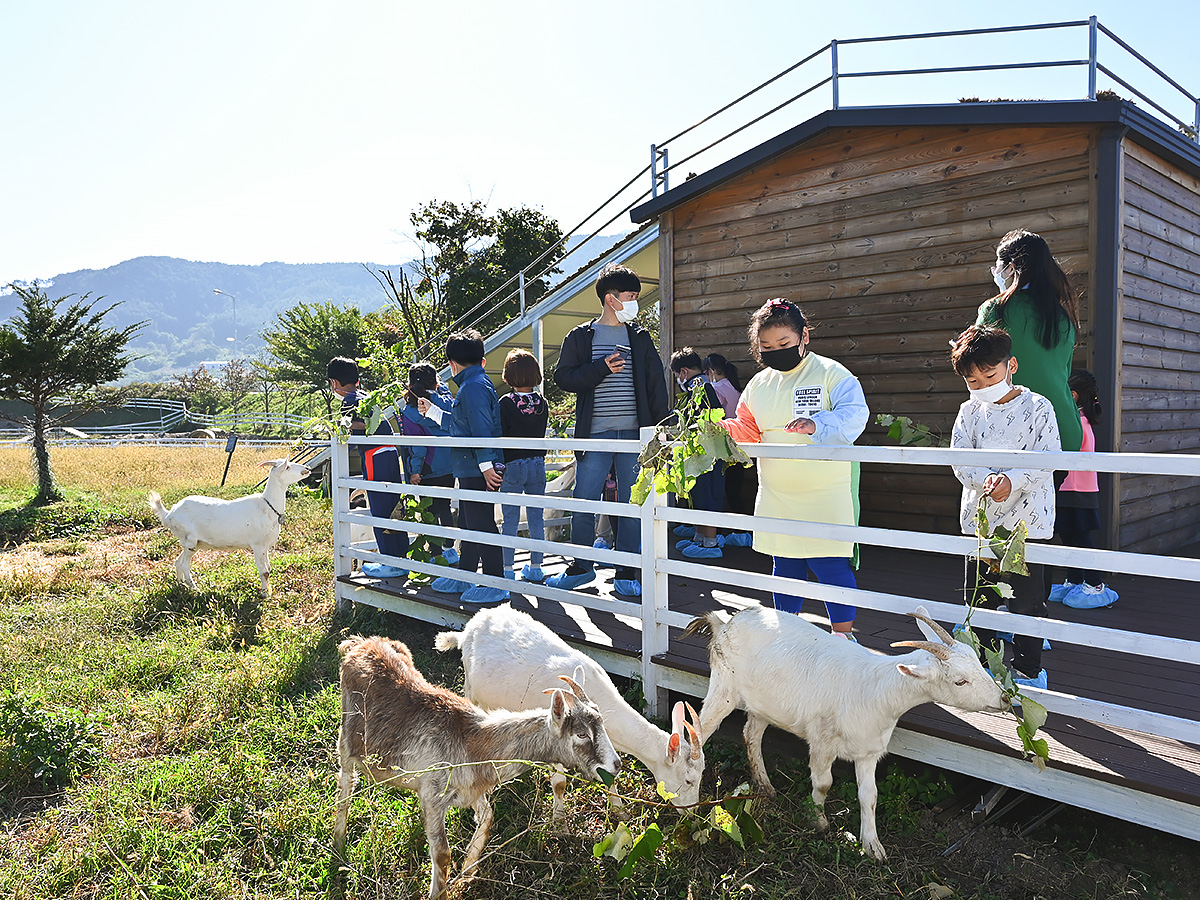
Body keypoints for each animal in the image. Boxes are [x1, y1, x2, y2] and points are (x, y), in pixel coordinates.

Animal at [146, 458, 309, 600]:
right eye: (287, 467)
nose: (307, 469)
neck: (268, 507)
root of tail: (169, 514)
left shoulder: (265, 546)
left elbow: (269, 568)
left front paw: (268, 590)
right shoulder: (257, 545)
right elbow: (264, 572)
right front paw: (264, 595)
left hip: (192, 543)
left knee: (177, 561)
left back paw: (181, 585)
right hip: (190, 539)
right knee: (185, 564)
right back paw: (196, 589)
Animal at [336, 638, 624, 897]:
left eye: (601, 723)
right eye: (582, 734)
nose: (617, 764)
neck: (471, 739)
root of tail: (359, 644)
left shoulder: (471, 789)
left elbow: (487, 818)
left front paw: (467, 873)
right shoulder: (434, 795)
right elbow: (442, 854)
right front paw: (441, 890)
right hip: (347, 737)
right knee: (346, 781)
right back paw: (338, 842)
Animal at [439, 607, 700, 816]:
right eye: (689, 780)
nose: (692, 812)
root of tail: (472, 624)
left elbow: (609, 773)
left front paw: (620, 812)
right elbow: (559, 784)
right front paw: (559, 821)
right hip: (470, 686)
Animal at [681, 607, 1008, 859]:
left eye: (977, 660)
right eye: (960, 681)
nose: (1004, 698)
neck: (874, 689)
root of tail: (725, 622)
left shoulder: (868, 750)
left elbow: (870, 796)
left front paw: (873, 847)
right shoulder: (821, 741)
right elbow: (824, 783)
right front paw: (818, 821)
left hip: (763, 703)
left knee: (751, 734)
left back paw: (765, 786)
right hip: (724, 688)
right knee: (698, 733)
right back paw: (688, 802)